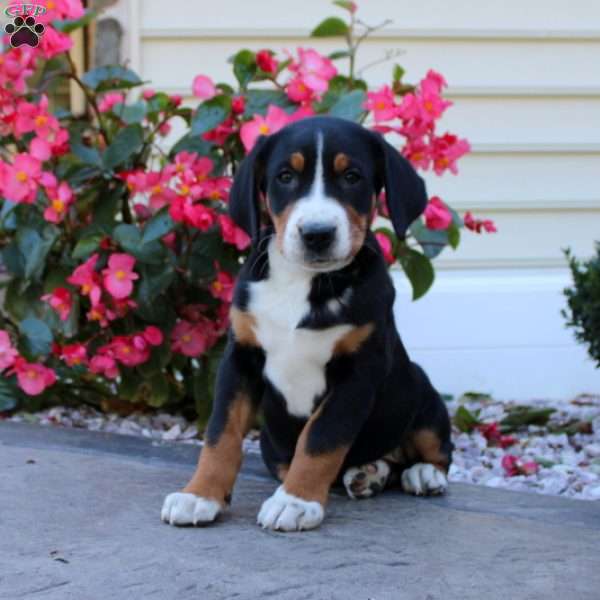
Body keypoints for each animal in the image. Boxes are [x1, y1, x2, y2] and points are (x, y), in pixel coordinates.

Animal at [162, 116, 452, 528]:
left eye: (352, 176)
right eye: (285, 176)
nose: (317, 234)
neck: (304, 282)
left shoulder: (359, 371)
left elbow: (320, 437)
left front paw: (295, 501)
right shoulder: (241, 358)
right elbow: (221, 433)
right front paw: (199, 494)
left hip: (420, 390)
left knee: (437, 450)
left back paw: (422, 474)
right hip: (274, 446)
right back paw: (369, 473)